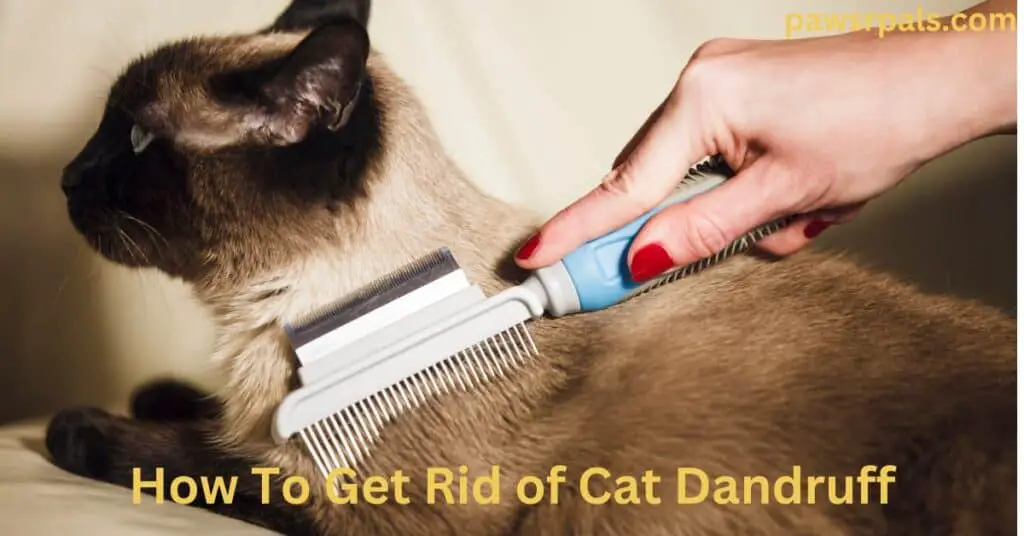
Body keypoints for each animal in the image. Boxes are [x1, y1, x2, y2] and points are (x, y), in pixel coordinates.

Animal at [44, 1, 1011, 536]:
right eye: (109, 130)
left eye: (135, 138)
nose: (65, 178)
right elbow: (207, 422)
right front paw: (162, 395)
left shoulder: (386, 512)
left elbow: (215, 465)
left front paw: (80, 427)